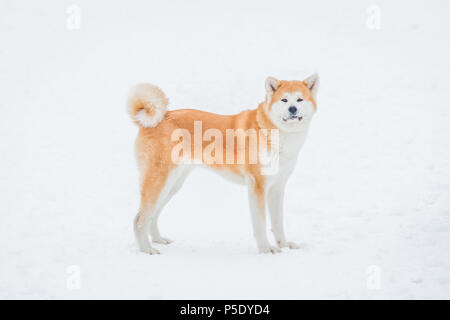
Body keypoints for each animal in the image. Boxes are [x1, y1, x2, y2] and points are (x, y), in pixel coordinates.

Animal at [128, 74, 318, 254]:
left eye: (299, 99)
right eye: (284, 100)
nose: (292, 109)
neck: (277, 135)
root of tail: (154, 119)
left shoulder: (277, 187)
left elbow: (278, 223)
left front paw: (284, 245)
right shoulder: (258, 186)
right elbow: (260, 223)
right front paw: (266, 249)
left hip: (172, 185)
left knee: (152, 216)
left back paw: (158, 240)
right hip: (159, 182)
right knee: (139, 220)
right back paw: (147, 250)